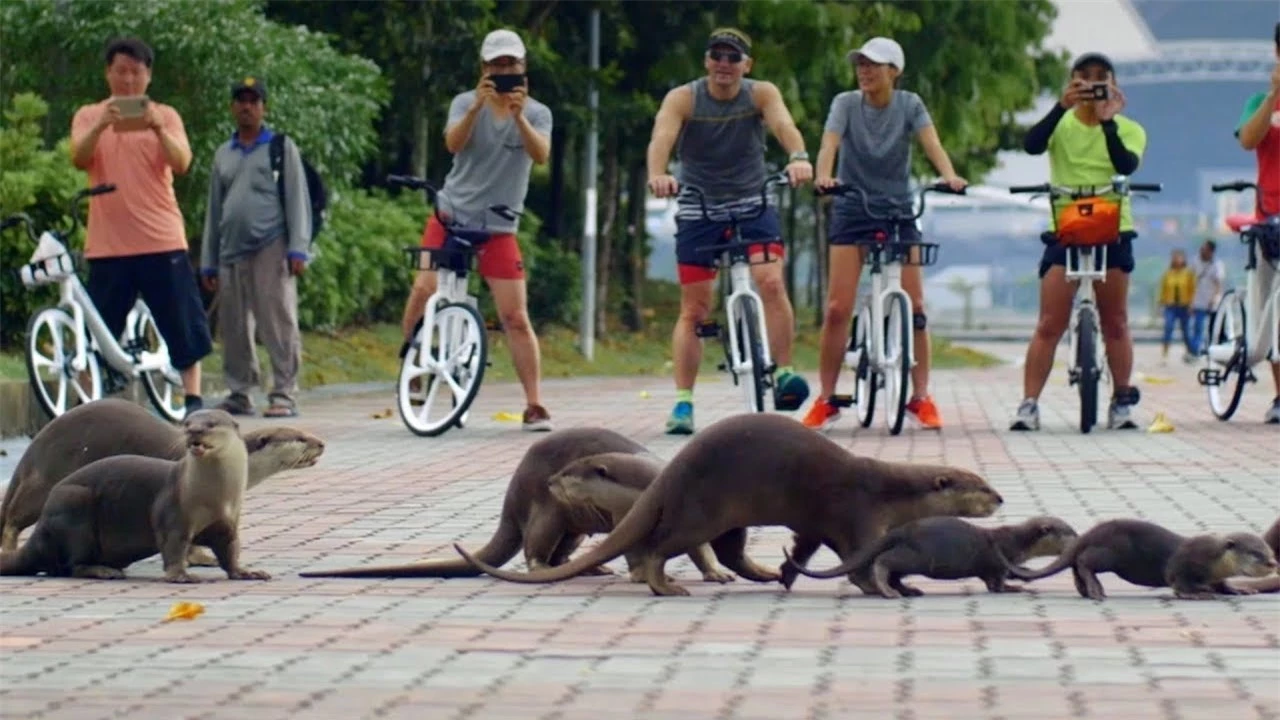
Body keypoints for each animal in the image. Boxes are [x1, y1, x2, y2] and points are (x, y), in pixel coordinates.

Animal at [2, 394, 322, 563]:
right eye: (300, 438)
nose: (321, 443)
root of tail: (37, 442)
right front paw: (198, 557)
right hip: (47, 478)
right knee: (14, 516)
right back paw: (9, 548)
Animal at [299, 425, 660, 576]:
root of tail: (511, 501)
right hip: (549, 511)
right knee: (535, 548)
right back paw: (550, 567)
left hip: (574, 528)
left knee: (561, 553)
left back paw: (592, 568)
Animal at [455, 409, 1003, 594]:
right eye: (977, 485)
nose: (999, 495)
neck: (890, 489)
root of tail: (671, 472)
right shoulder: (861, 516)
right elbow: (858, 562)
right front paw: (884, 589)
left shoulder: (818, 524)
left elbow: (805, 547)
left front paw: (787, 574)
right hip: (701, 511)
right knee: (663, 545)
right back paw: (666, 586)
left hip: (729, 517)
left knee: (728, 551)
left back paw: (757, 574)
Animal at [783, 515, 1075, 594]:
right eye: (1069, 532)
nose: (1078, 536)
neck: (1015, 541)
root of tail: (901, 530)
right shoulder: (999, 562)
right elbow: (996, 583)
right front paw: (1014, 588)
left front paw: (1023, 578)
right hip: (916, 556)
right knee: (883, 562)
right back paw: (889, 592)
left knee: (894, 573)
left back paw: (909, 590)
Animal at [1003, 515, 1274, 599]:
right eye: (1255, 554)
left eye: (1269, 551)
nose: (1273, 563)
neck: (1213, 558)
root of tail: (1089, 532)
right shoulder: (1184, 563)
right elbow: (1177, 581)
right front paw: (1197, 593)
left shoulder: (1216, 573)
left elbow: (1223, 583)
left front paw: (1238, 590)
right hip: (1109, 553)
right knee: (1083, 562)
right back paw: (1096, 590)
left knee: (1075, 564)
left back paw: (1084, 589)